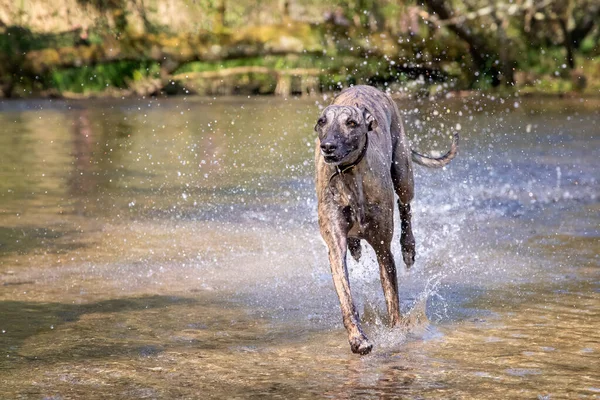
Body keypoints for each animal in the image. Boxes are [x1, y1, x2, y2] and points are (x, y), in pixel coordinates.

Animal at [314, 86, 460, 354]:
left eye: (351, 123)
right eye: (322, 122)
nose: (327, 146)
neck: (350, 176)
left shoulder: (383, 249)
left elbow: (393, 302)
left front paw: (396, 335)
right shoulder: (335, 246)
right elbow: (347, 298)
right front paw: (358, 339)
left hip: (402, 171)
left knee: (406, 206)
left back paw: (408, 246)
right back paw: (356, 246)